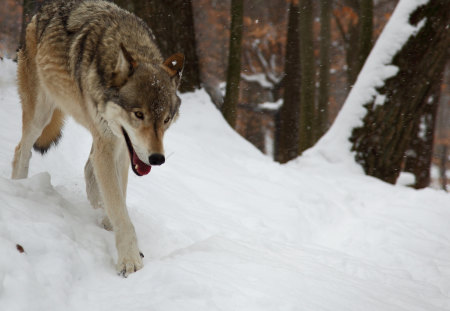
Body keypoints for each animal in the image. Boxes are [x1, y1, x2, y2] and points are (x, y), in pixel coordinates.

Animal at [11, 0, 185, 278]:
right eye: (139, 114)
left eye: (166, 120)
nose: (157, 158)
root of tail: (42, 10)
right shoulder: (110, 142)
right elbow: (119, 209)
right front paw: (129, 259)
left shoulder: (124, 147)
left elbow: (119, 194)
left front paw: (109, 221)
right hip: (40, 115)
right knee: (22, 151)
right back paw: (19, 188)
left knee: (88, 164)